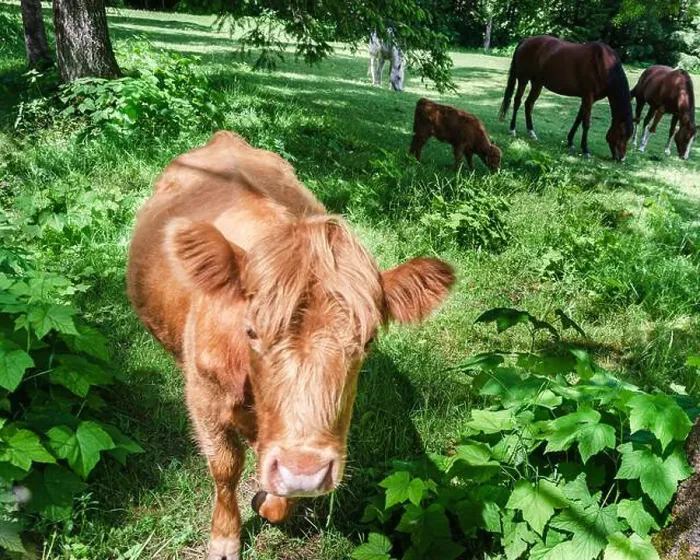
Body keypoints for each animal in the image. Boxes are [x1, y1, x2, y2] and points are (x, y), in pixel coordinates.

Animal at [126, 131, 455, 559]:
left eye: (367, 341)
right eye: (251, 332)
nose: (305, 471)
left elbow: (280, 497)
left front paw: (267, 502)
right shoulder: (204, 397)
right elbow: (225, 466)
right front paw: (225, 538)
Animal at [499, 35, 634, 161]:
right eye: (622, 135)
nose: (621, 158)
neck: (604, 64)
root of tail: (526, 41)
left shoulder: (589, 99)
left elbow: (578, 119)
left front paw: (570, 142)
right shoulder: (588, 96)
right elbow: (586, 123)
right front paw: (585, 150)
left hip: (537, 83)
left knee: (529, 104)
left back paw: (531, 132)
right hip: (523, 79)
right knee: (517, 101)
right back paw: (512, 130)